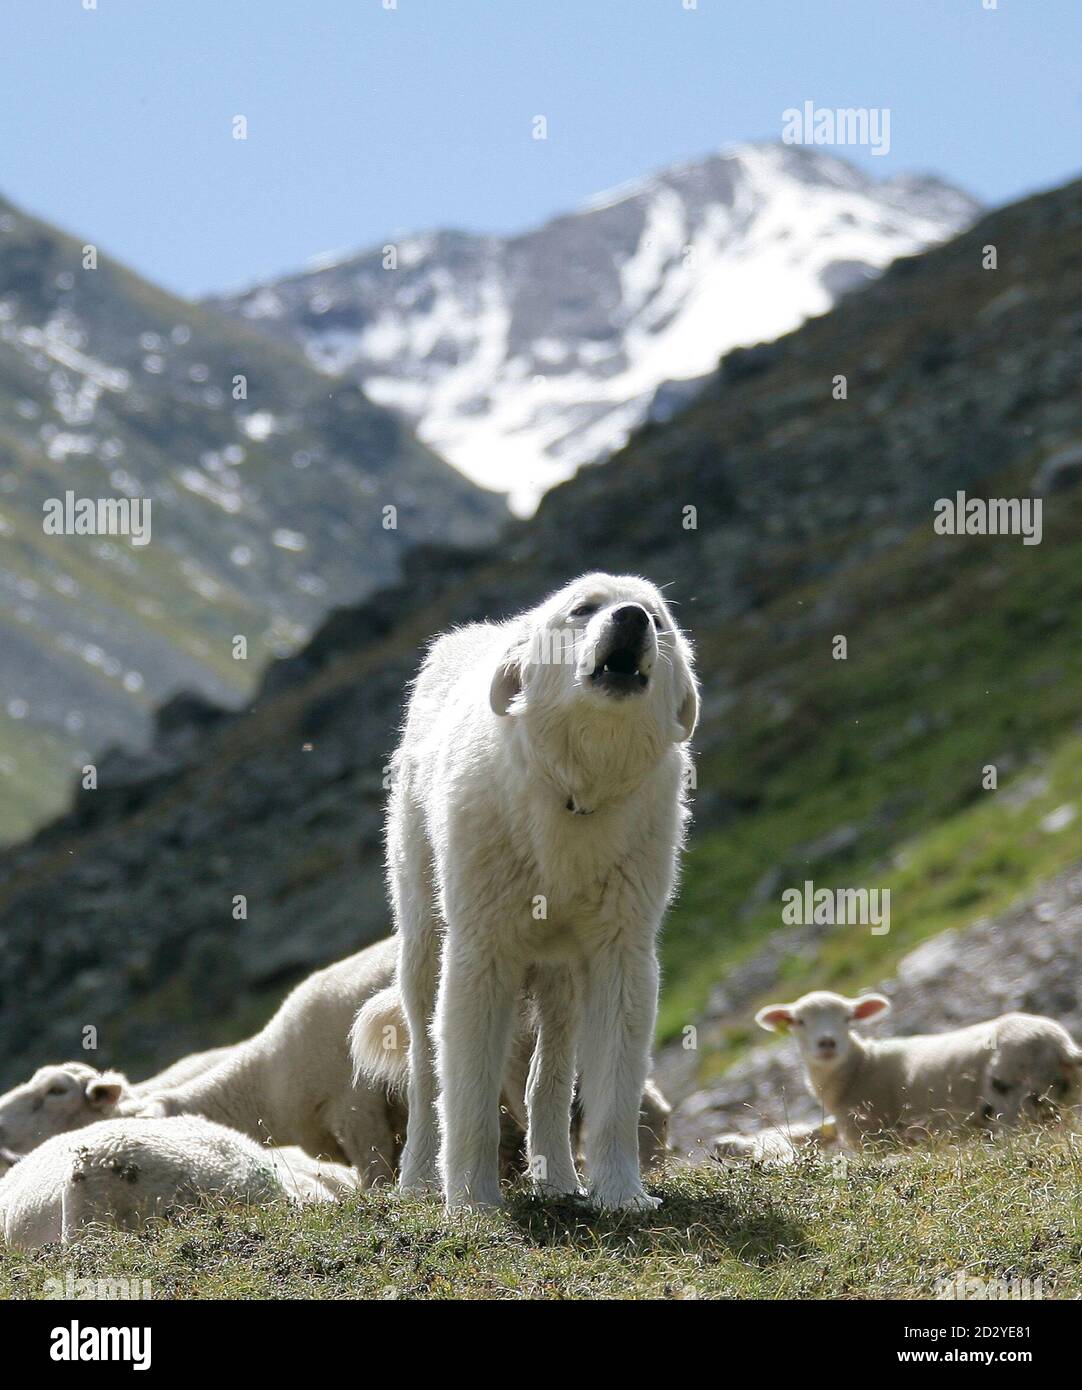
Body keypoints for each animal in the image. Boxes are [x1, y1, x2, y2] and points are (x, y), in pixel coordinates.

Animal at [751, 995, 1079, 1145]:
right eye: (799, 1021)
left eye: (847, 1018)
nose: (827, 1042)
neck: (860, 1067)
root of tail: (1061, 1044)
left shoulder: (874, 1140)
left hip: (1016, 1099)